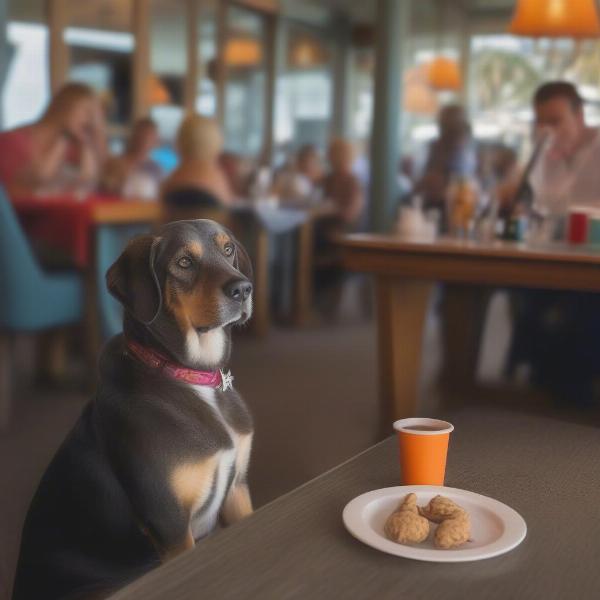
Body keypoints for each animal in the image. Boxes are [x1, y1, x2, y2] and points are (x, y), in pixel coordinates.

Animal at [14, 221, 253, 600]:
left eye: (227, 249)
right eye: (184, 262)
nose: (243, 289)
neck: (189, 377)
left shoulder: (238, 489)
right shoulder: (170, 523)